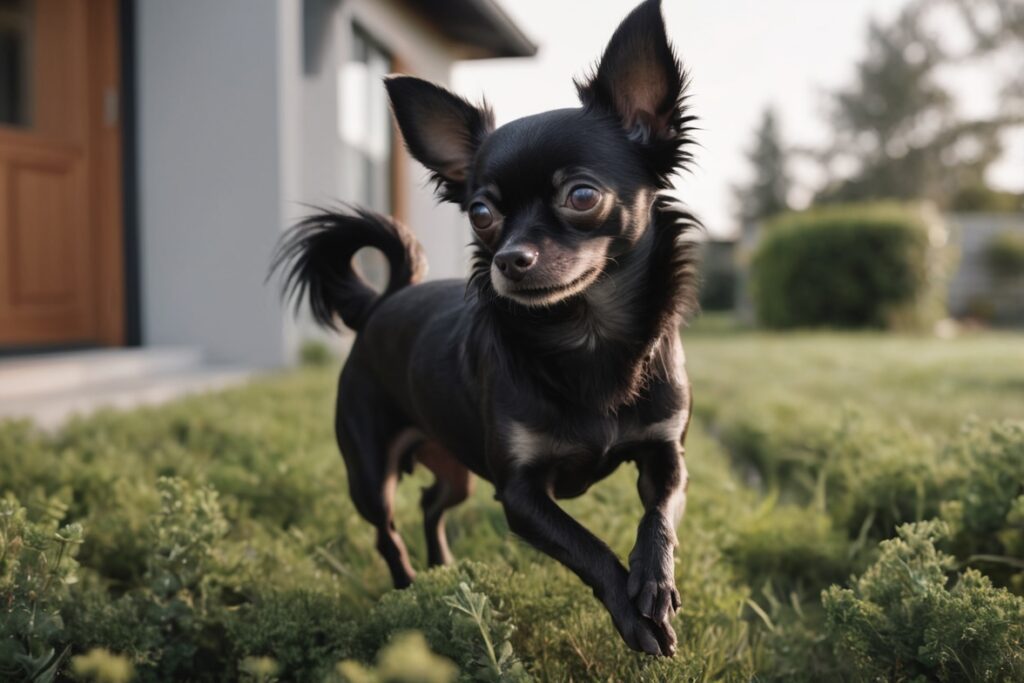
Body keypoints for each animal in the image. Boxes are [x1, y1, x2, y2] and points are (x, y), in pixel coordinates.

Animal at [272, 0, 700, 655]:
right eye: (481, 213)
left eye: (581, 196)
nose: (509, 260)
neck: (587, 337)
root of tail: (383, 303)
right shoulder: (520, 494)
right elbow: (588, 547)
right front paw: (634, 617)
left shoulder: (665, 455)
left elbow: (658, 518)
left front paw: (654, 584)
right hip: (369, 474)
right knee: (386, 529)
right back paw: (408, 588)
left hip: (455, 470)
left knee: (431, 502)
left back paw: (444, 568)